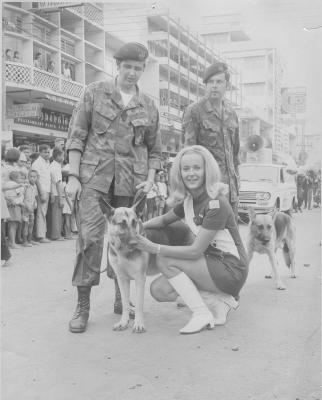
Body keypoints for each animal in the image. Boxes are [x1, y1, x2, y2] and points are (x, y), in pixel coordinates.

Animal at [98, 195, 158, 332]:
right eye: (122, 223)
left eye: (134, 222)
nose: (135, 243)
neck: (123, 252)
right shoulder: (121, 279)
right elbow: (125, 304)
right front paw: (123, 322)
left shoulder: (140, 279)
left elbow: (139, 304)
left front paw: (138, 323)